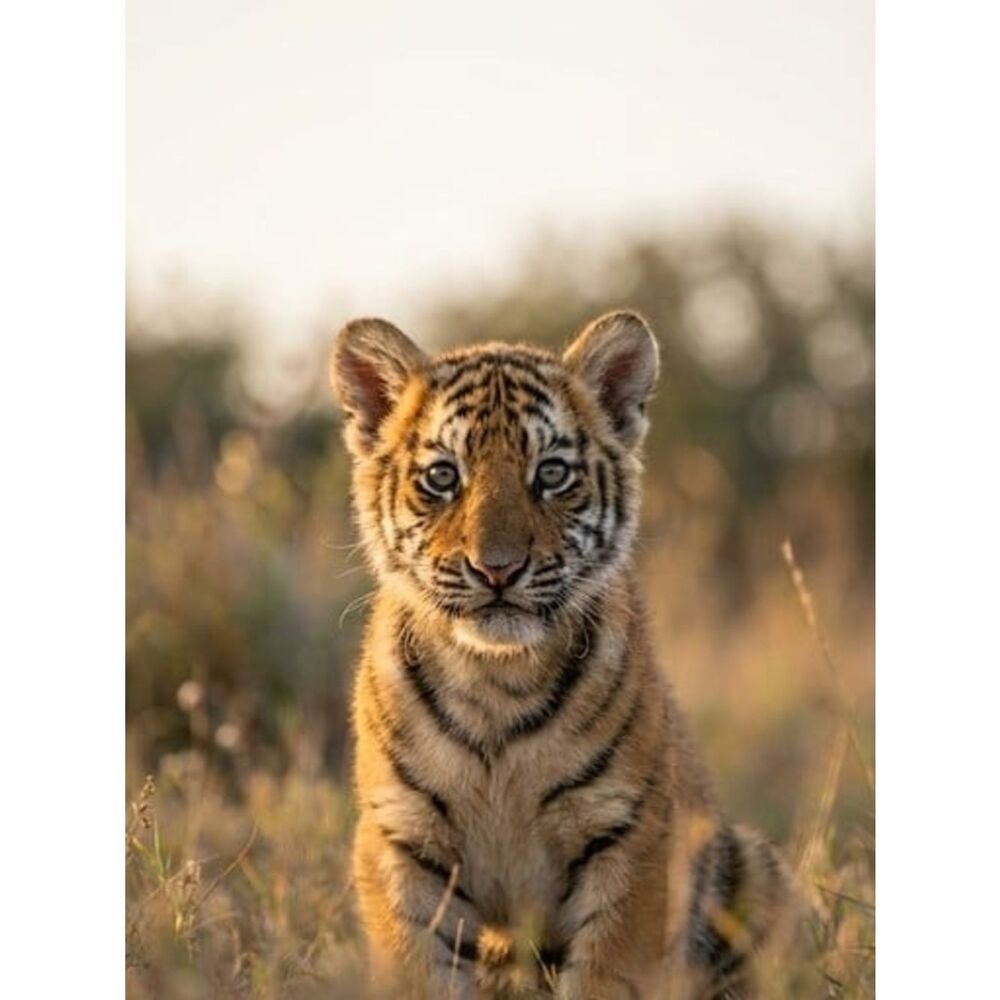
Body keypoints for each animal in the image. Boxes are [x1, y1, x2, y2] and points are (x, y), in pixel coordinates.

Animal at [329, 311, 795, 1000]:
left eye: (551, 474)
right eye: (443, 477)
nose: (497, 569)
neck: (494, 678)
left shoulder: (630, 837)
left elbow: (607, 976)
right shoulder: (402, 840)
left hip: (753, 867)